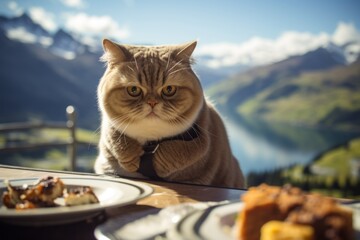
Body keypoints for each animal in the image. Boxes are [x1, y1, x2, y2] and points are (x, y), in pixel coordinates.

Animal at [93, 38, 246, 188]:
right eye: (134, 90)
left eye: (169, 89)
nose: (152, 102)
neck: (150, 145)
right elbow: (118, 140)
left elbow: (177, 150)